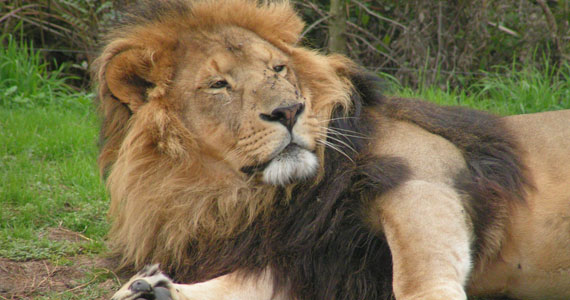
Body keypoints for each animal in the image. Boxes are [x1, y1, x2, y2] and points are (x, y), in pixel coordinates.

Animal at [93, 0, 568, 300]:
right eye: (219, 85)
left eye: (278, 68)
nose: (288, 110)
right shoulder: (304, 255)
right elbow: (231, 286)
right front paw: (150, 289)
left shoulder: (425, 167)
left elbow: (417, 277)